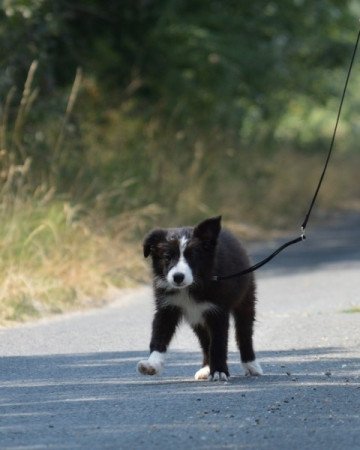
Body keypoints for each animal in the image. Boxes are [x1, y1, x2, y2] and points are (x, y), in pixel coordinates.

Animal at [137, 216, 262, 382]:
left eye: (192, 257)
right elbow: (159, 336)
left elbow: (218, 343)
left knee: (244, 333)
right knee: (205, 340)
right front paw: (152, 365)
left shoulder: (217, 310)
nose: (178, 277)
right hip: (197, 318)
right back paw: (206, 368)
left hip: (245, 298)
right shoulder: (167, 308)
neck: (189, 288)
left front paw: (219, 371)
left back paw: (251, 365)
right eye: (167, 257)